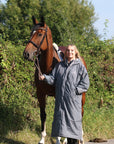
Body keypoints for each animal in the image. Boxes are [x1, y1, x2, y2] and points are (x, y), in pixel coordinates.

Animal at [22, 16, 85, 144]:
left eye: (40, 34)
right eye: (31, 33)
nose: (26, 54)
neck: (48, 67)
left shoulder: (58, 95)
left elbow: (60, 115)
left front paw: (58, 139)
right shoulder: (40, 94)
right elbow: (43, 115)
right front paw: (42, 139)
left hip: (82, 97)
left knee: (80, 113)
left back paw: (76, 137)